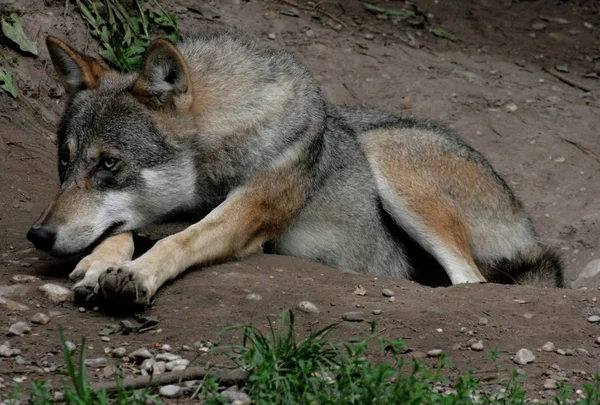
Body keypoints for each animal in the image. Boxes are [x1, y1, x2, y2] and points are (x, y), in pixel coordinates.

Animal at [27, 28, 564, 304]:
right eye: (64, 161)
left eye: (110, 163)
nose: (38, 235)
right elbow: (124, 230)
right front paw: (100, 262)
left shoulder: (244, 215)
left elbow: (182, 240)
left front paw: (136, 275)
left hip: (387, 152)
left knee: (472, 282)